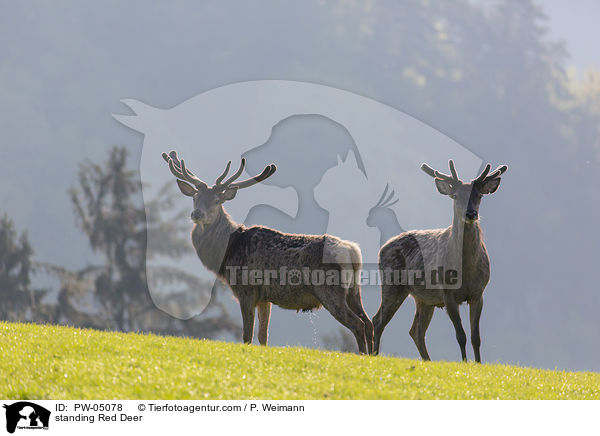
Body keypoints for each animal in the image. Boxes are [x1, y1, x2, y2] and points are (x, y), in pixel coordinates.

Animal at [162, 150, 372, 354]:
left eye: (216, 201)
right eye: (195, 198)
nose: (197, 214)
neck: (228, 251)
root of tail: (353, 252)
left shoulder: (246, 289)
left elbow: (247, 335)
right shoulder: (265, 297)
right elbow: (263, 336)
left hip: (330, 290)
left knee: (358, 324)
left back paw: (362, 355)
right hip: (354, 291)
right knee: (369, 322)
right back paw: (372, 355)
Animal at [376, 160, 506, 362]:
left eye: (479, 196)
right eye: (455, 196)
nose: (471, 214)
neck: (466, 271)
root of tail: (382, 248)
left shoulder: (478, 293)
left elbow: (476, 337)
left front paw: (478, 363)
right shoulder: (447, 293)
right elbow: (461, 335)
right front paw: (465, 363)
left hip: (423, 299)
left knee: (416, 330)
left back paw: (427, 360)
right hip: (391, 285)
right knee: (378, 322)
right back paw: (370, 354)